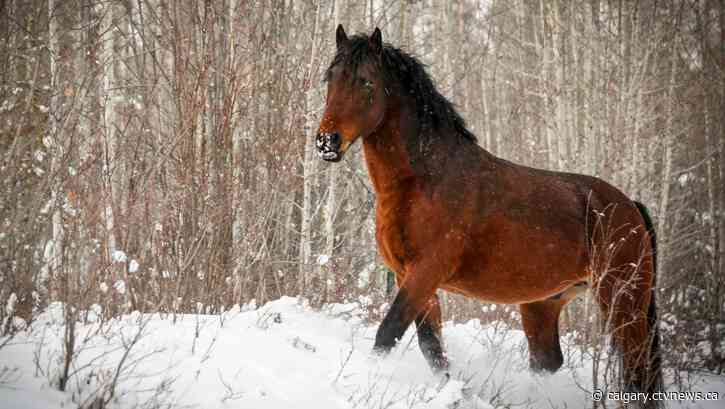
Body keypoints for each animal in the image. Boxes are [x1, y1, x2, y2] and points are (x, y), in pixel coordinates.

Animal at [315, 25, 662, 405]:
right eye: (330, 77)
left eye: (366, 82)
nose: (327, 142)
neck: (425, 179)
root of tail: (630, 206)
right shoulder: (412, 277)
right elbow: (432, 349)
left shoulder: (425, 273)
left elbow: (388, 333)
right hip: (543, 304)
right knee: (548, 362)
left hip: (624, 304)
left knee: (637, 371)